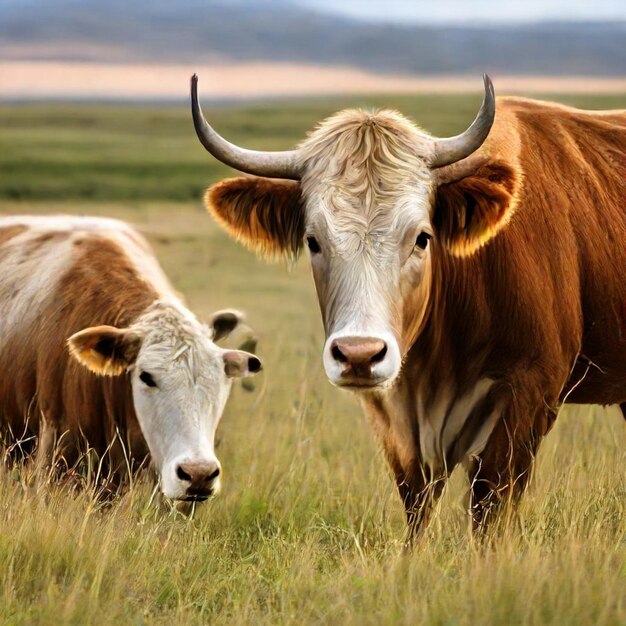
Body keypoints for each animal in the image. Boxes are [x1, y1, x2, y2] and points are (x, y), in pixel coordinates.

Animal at [190, 70, 624, 532]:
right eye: (313, 241)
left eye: (422, 237)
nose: (359, 354)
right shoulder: (395, 416)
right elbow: (417, 499)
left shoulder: (530, 394)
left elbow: (490, 503)